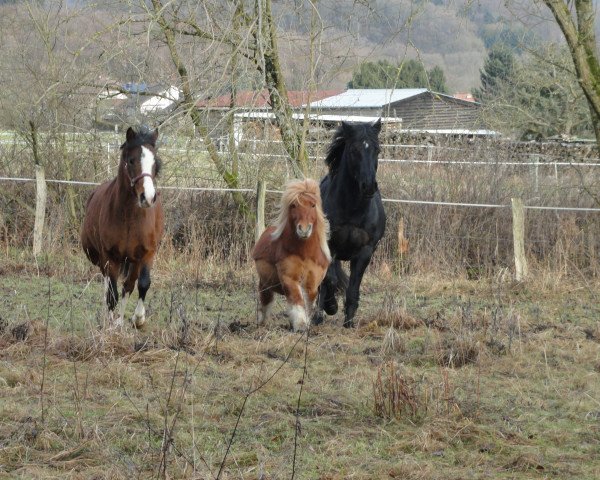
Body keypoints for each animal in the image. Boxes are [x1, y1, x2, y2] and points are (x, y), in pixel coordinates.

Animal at [81, 125, 164, 328]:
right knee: (108, 285)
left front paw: (138, 319)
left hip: (133, 261)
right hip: (103, 260)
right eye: (131, 160)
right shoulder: (110, 257)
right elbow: (112, 293)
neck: (129, 217)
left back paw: (120, 321)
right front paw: (109, 325)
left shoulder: (147, 254)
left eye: (155, 162)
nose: (148, 197)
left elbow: (142, 284)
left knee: (128, 285)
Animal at [251, 178, 330, 332]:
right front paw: (300, 325)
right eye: (294, 205)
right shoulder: (289, 278)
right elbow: (297, 300)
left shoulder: (312, 283)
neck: (305, 253)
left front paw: (305, 323)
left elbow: (307, 302)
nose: (304, 230)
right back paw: (262, 323)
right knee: (266, 301)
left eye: (313, 205)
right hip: (265, 284)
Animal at [314, 119, 384, 328]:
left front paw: (349, 322)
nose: (368, 186)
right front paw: (330, 308)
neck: (352, 209)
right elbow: (329, 279)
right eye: (354, 150)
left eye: (377, 149)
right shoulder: (329, 246)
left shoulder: (365, 251)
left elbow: (353, 287)